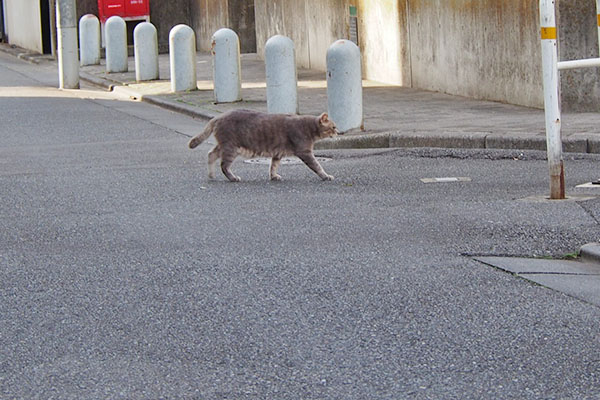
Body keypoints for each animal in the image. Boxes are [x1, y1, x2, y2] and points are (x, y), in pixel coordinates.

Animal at [188, 111, 340, 183]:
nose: (338, 132)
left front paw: (273, 176)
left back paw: (211, 175)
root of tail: (217, 117)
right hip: (231, 148)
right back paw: (233, 178)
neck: (308, 127)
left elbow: (273, 166)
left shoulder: (278, 153)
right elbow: (317, 166)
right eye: (333, 127)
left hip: (225, 146)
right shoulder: (305, 152)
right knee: (224, 165)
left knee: (211, 154)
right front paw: (326, 176)